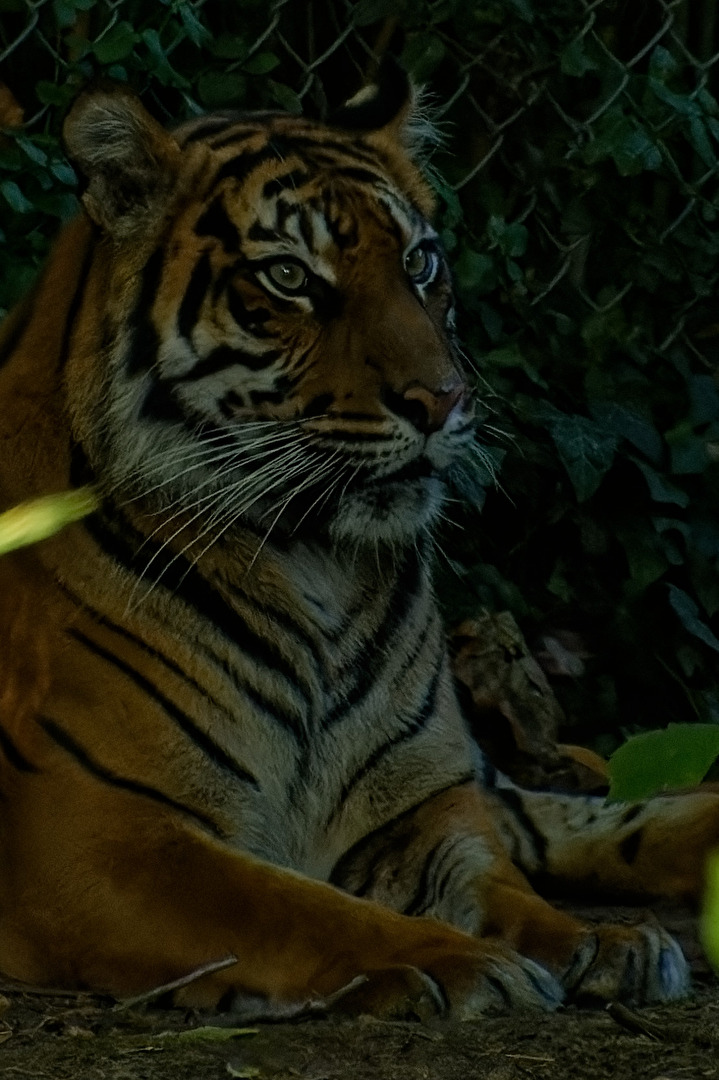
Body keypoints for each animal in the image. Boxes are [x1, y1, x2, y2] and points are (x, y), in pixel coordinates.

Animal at [0, 62, 718, 1019]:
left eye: (419, 263)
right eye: (289, 277)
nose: (442, 401)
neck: (317, 567)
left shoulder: (419, 805)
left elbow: (497, 882)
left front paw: (593, 941)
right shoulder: (99, 833)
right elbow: (292, 908)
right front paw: (458, 963)